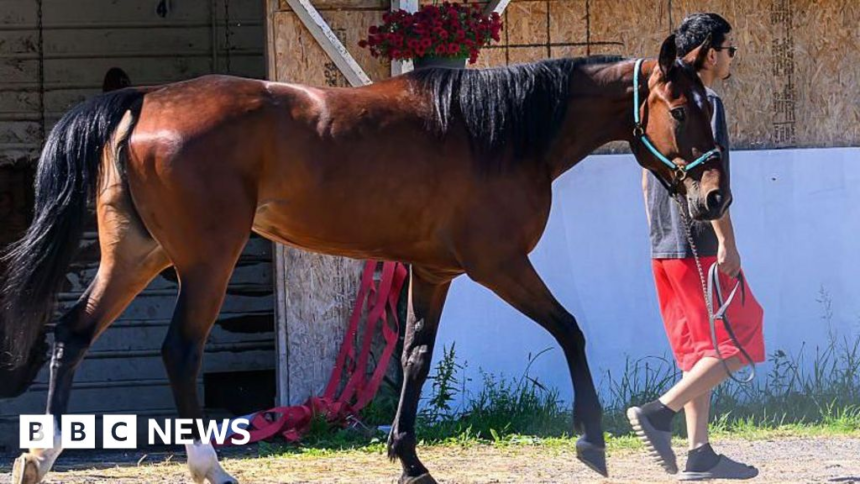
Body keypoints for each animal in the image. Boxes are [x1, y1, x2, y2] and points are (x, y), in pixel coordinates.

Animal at [1, 33, 727, 484]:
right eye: (682, 109)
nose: (714, 197)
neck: (497, 132)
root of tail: (145, 99)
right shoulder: (498, 265)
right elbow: (570, 330)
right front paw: (591, 442)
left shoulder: (433, 271)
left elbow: (414, 356)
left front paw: (407, 458)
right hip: (206, 260)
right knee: (180, 349)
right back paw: (210, 465)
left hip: (137, 253)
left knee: (73, 334)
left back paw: (41, 454)